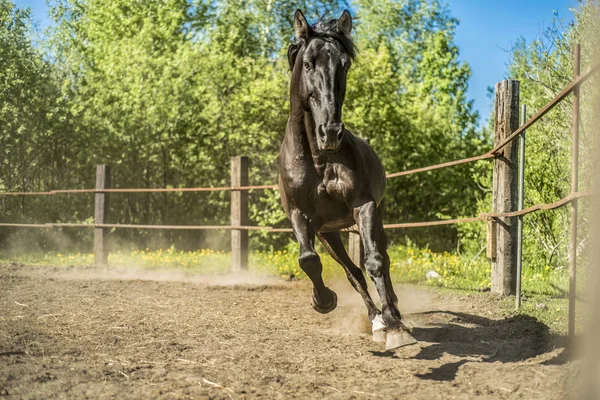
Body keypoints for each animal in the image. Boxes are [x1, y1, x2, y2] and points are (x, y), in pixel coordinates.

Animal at [278, 9, 414, 350]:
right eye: (308, 63)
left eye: (345, 64)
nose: (331, 132)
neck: (319, 160)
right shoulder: (299, 215)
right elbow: (309, 260)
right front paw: (324, 300)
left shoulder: (364, 207)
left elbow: (375, 262)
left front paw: (396, 326)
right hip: (330, 234)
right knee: (352, 271)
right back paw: (375, 319)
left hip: (372, 220)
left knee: (380, 261)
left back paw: (392, 314)